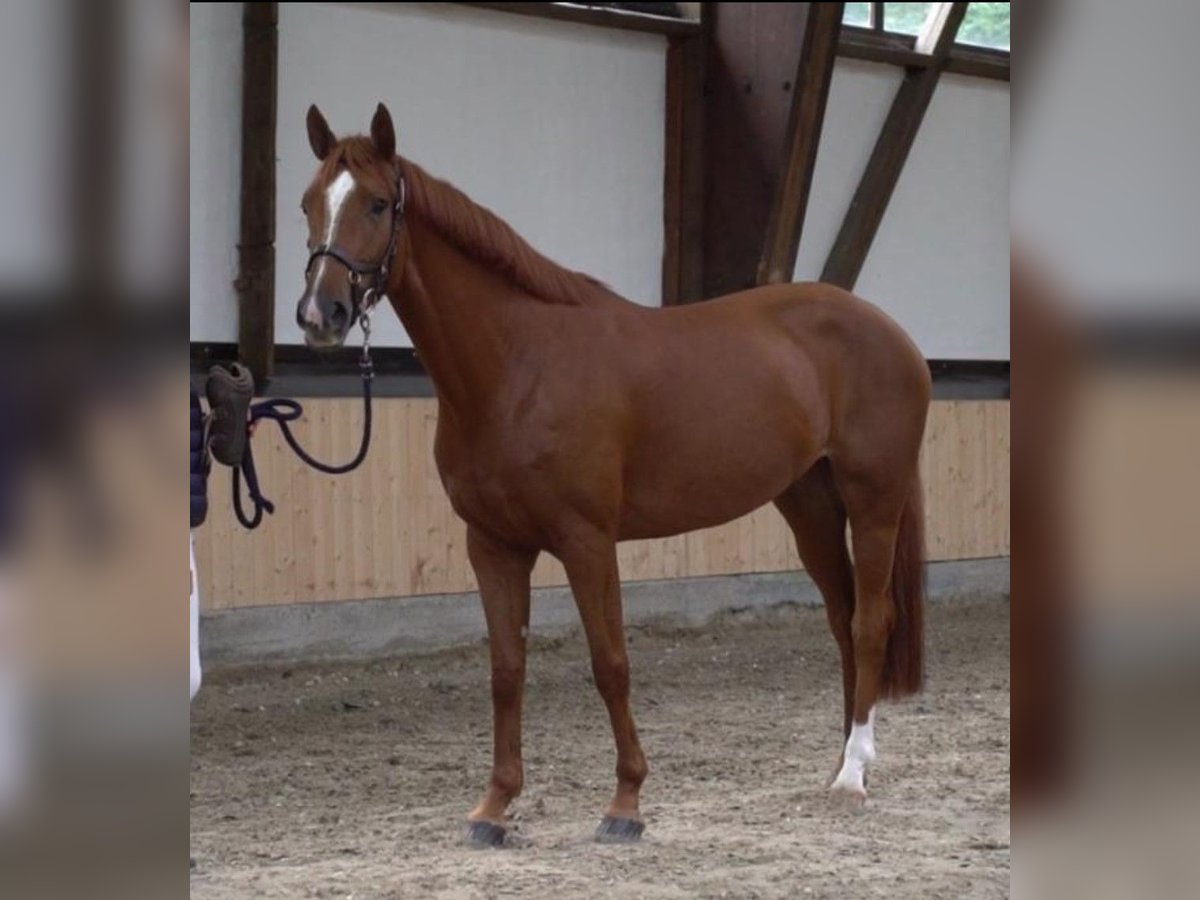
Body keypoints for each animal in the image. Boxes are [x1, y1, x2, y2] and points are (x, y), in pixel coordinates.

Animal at [295, 103, 931, 844]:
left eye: (375, 203)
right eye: (309, 202)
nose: (320, 315)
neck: (517, 365)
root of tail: (892, 332)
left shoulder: (587, 541)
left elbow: (611, 664)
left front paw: (625, 804)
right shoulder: (493, 546)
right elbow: (506, 670)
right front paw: (494, 807)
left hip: (874, 498)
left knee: (871, 622)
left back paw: (854, 775)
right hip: (809, 506)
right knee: (842, 617)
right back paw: (840, 764)